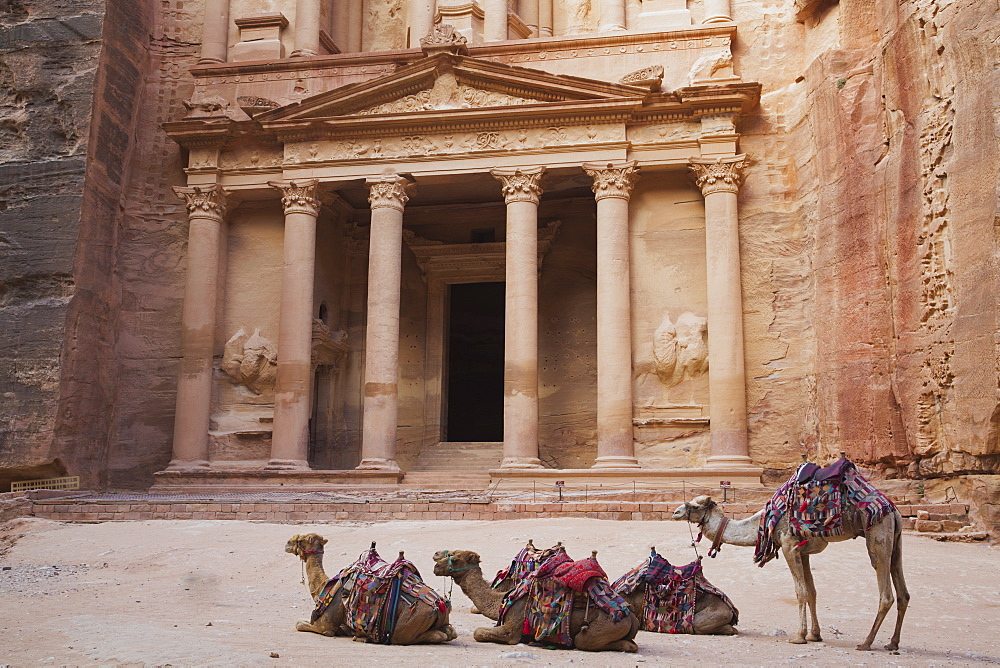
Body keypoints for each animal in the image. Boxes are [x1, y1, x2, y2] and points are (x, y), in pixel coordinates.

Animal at [286, 536, 458, 644]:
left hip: (405, 626)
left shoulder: (325, 626)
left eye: (300, 540)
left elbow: (299, 624)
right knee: (450, 632)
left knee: (428, 636)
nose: (287, 544)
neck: (325, 586)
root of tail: (440, 605)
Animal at [432, 548, 640, 652]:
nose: (435, 566)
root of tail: (631, 617)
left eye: (455, 559)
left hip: (603, 626)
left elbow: (478, 632)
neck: (501, 599)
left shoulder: (513, 628)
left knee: (584, 641)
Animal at [672, 494, 908, 648]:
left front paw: (799, 636)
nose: (675, 512)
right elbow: (811, 592)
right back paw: (893, 643)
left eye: (695, 506)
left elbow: (800, 592)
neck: (764, 522)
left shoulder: (788, 544)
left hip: (878, 535)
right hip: (895, 540)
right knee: (903, 592)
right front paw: (814, 635)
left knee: (886, 593)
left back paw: (867, 642)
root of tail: (895, 512)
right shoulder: (803, 552)